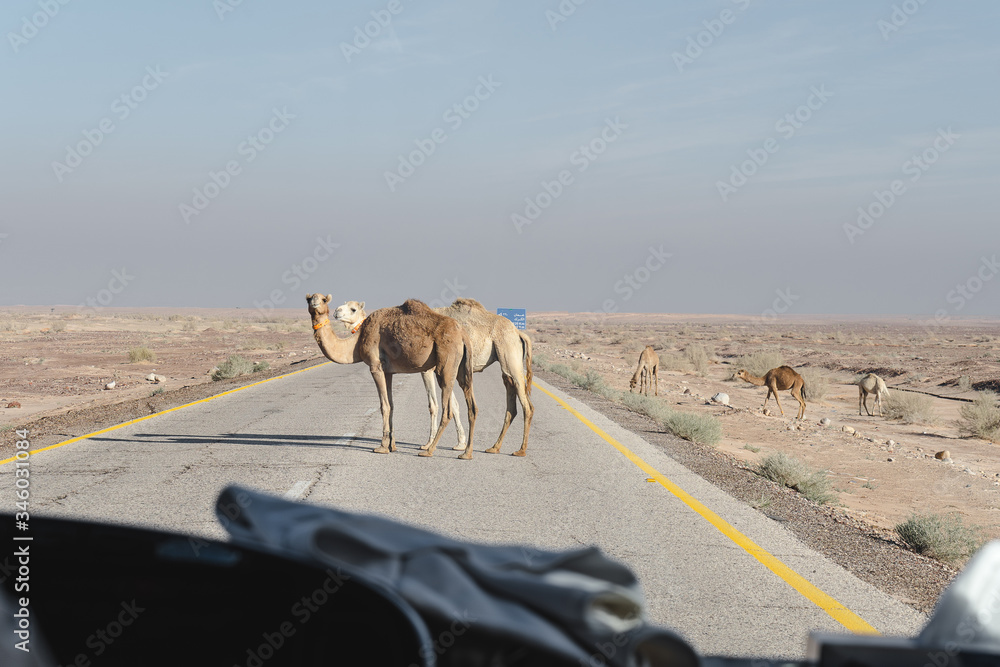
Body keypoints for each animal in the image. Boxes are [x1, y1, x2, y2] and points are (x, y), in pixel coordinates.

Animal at [307, 294, 477, 459]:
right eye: (309, 299)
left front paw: (382, 447)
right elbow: (392, 404)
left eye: (323, 300)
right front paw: (392, 445)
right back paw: (466, 453)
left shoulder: (375, 367)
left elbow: (384, 406)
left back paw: (429, 450)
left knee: (447, 409)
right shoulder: (388, 371)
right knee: (471, 405)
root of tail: (463, 334)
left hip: (446, 362)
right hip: (461, 367)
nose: (336, 311)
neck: (358, 340)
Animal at [335, 299, 534, 457]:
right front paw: (458, 443)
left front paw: (429, 445)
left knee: (526, 403)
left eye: (353, 308)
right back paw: (494, 447)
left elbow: (436, 405)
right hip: (505, 363)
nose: (337, 311)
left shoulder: (428, 370)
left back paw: (520, 450)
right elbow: (451, 404)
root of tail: (518, 332)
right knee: (510, 394)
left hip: (509, 354)